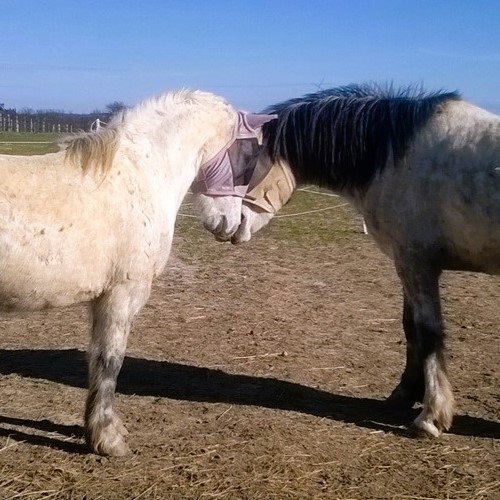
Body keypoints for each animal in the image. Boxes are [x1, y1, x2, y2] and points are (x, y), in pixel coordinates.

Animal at [0, 90, 270, 458]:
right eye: (248, 155)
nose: (234, 225)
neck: (140, 174)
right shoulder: (123, 294)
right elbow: (110, 361)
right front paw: (108, 440)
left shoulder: (102, 300)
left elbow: (96, 360)